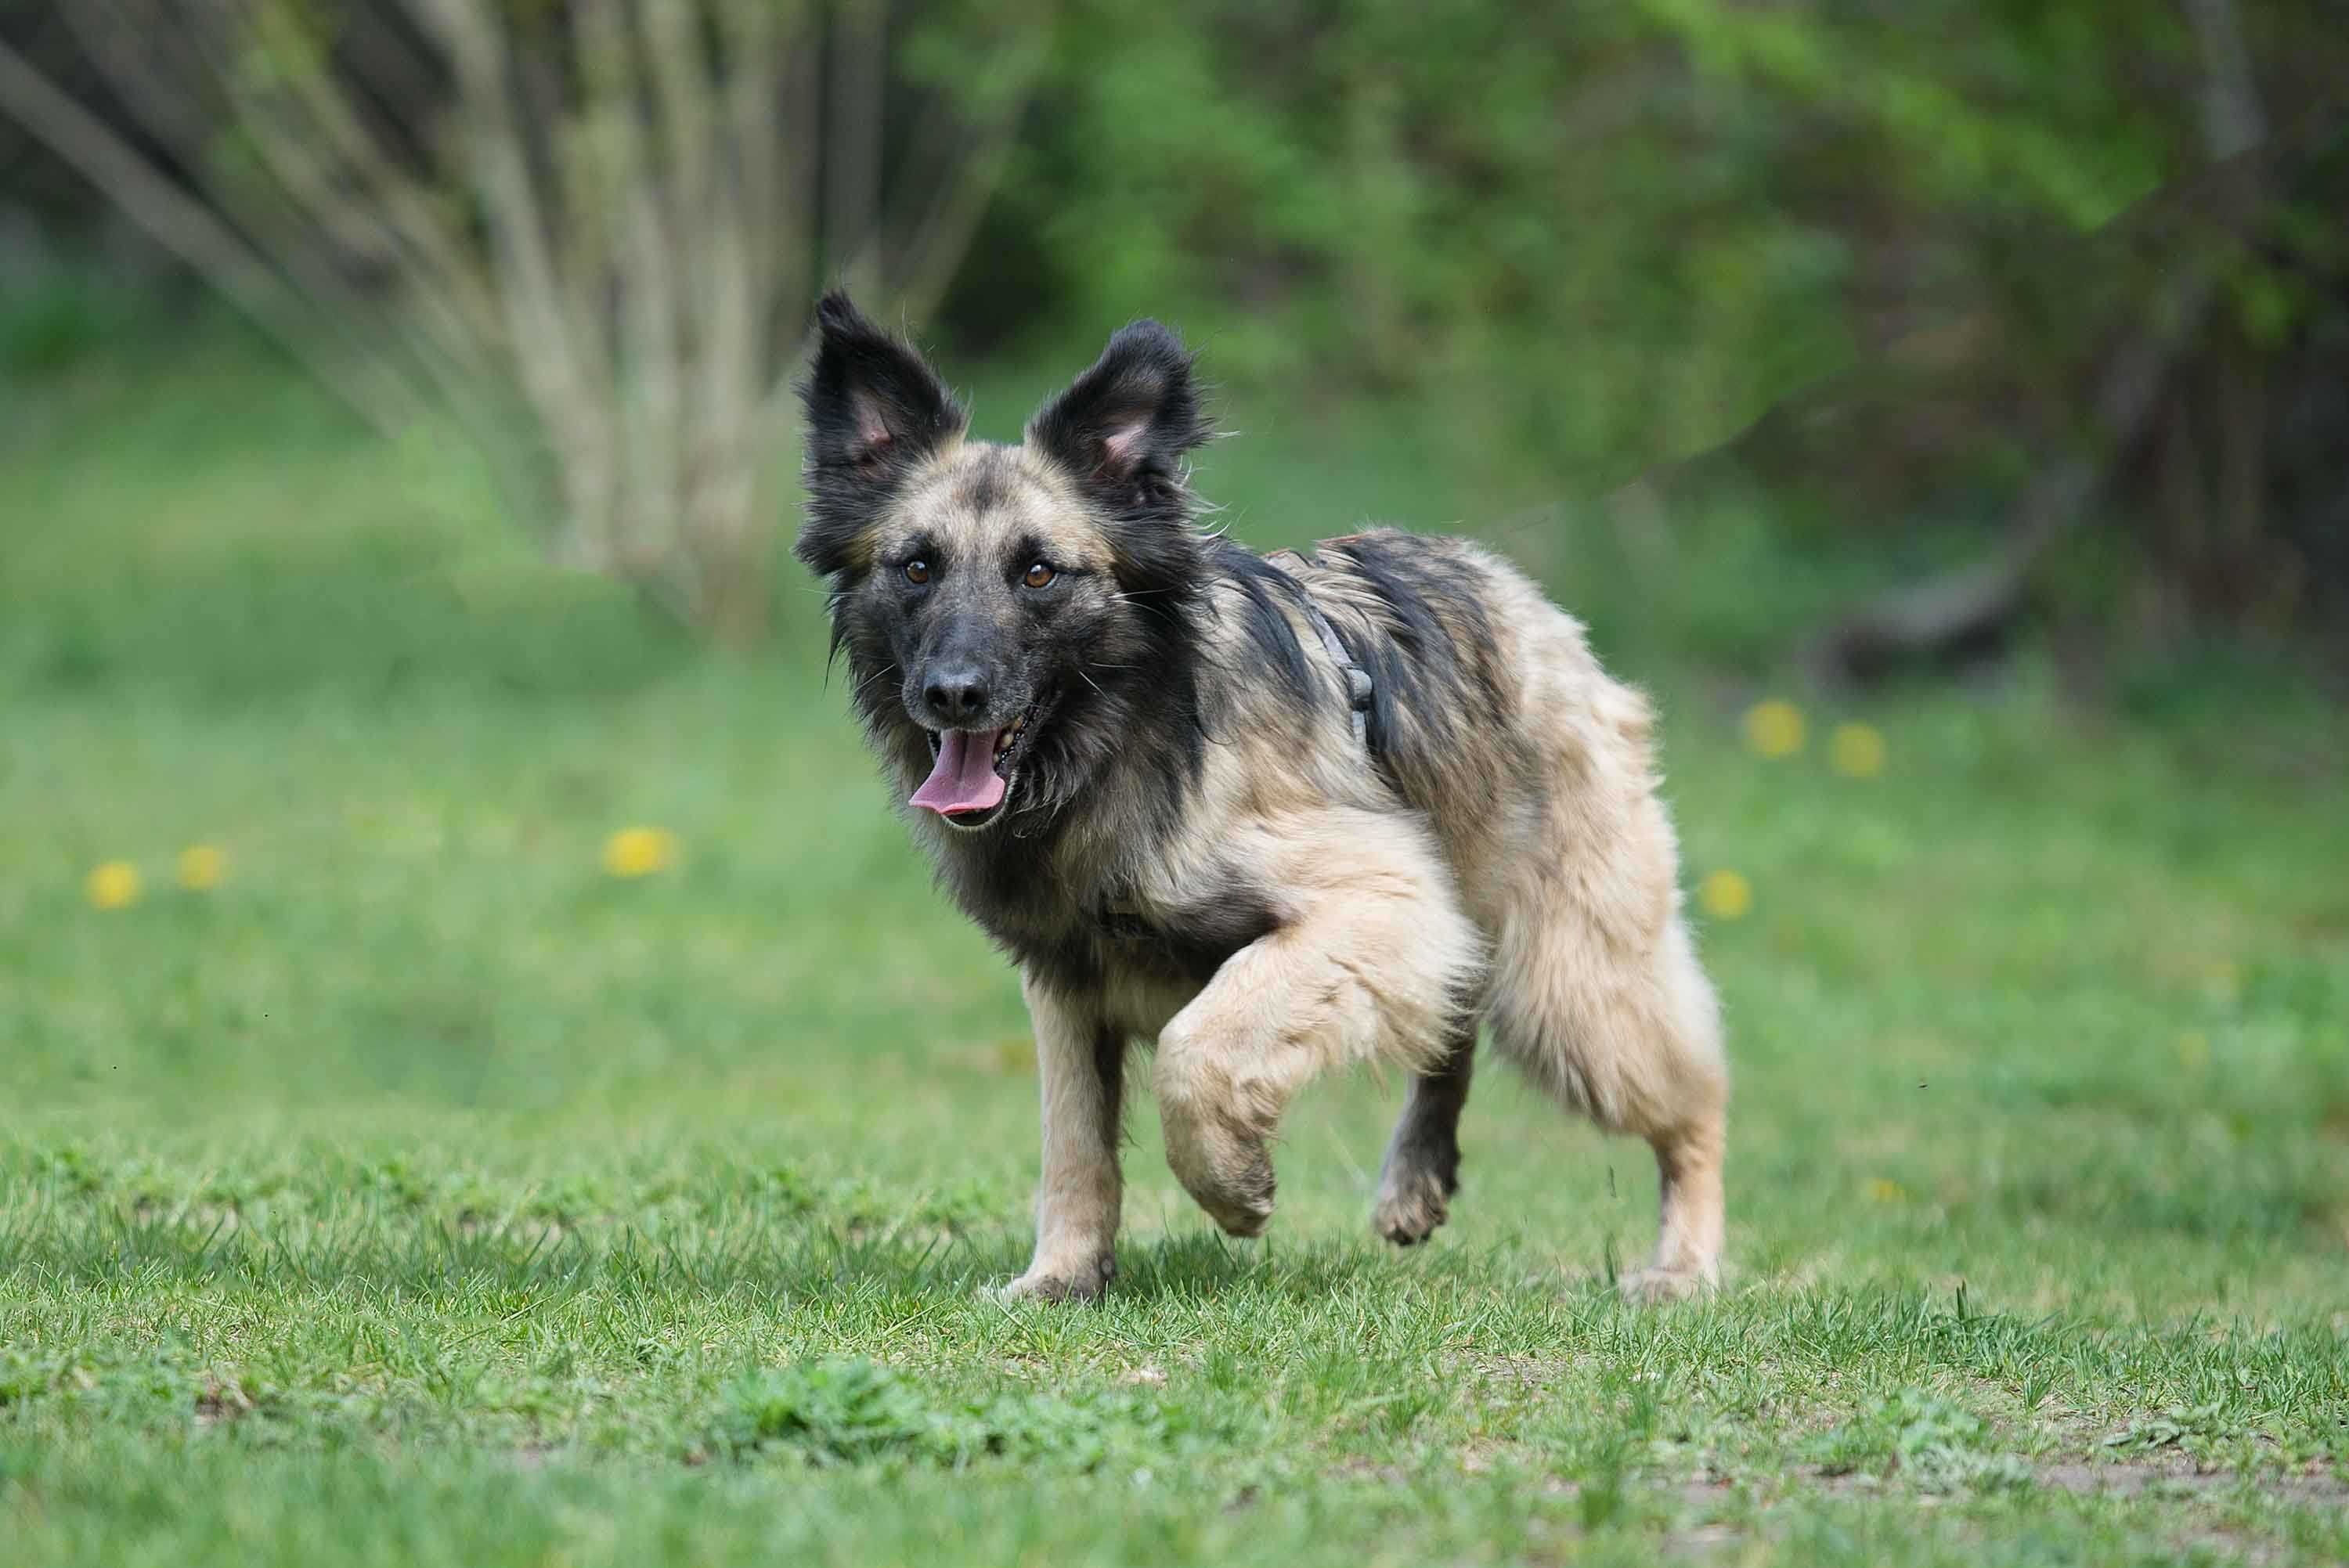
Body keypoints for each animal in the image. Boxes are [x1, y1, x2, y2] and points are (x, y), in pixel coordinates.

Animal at [789, 290, 1729, 1296]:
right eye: (917, 566)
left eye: (1038, 571)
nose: (953, 693)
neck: (1125, 735)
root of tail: (1525, 600)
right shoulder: (1067, 975)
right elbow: (1074, 1141)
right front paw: (1063, 1277)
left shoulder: (1380, 903)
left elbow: (1195, 1051)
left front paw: (1234, 1186)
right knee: (1454, 1018)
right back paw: (1418, 1172)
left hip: (1572, 978)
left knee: (1696, 1097)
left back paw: (1685, 1264)